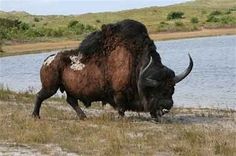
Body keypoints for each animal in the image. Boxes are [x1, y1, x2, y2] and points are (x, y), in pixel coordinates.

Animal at [32, 19, 193, 119]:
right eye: (155, 90)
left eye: (172, 89)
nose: (168, 105)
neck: (135, 62)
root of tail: (46, 61)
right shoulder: (119, 93)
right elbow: (121, 107)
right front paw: (122, 118)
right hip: (50, 87)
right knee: (40, 96)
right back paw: (35, 116)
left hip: (68, 89)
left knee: (71, 101)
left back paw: (84, 117)